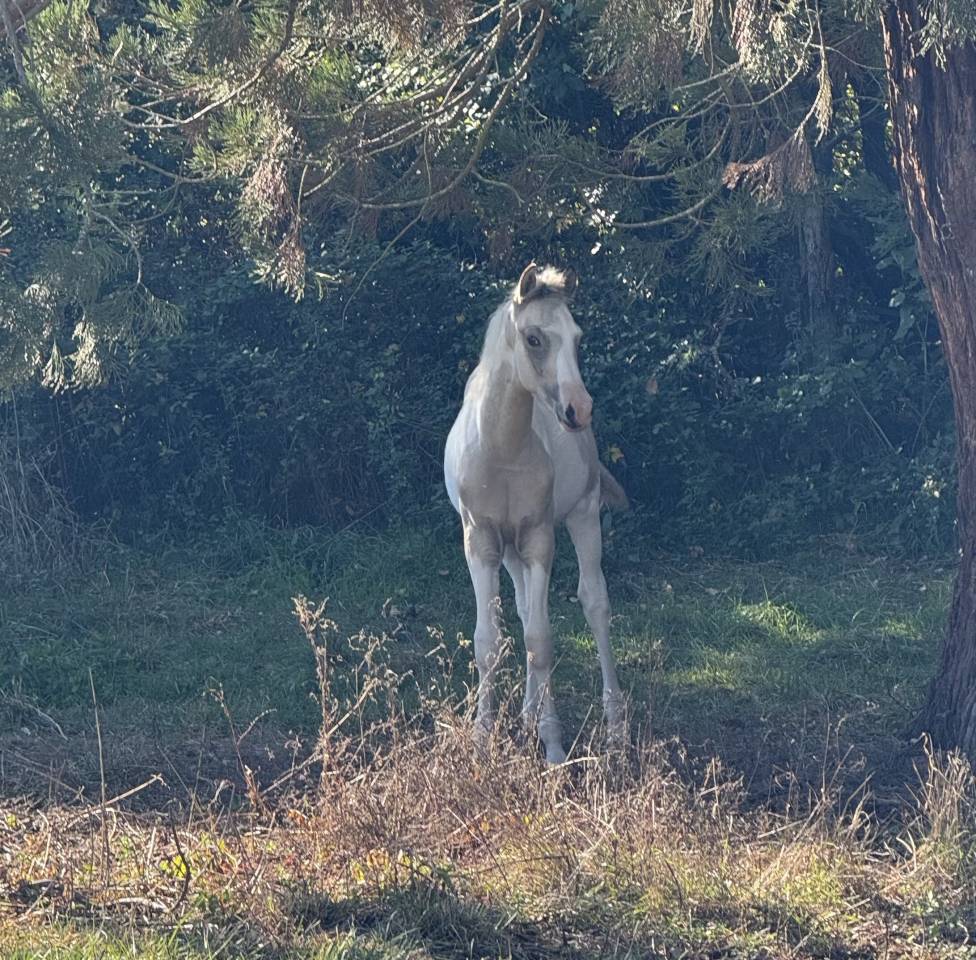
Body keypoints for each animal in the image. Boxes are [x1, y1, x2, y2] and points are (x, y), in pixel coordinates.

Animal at [444, 263, 628, 764]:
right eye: (533, 338)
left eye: (578, 338)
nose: (578, 409)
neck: (503, 449)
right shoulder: (481, 540)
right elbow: (491, 641)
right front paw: (482, 742)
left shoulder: (540, 538)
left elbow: (541, 642)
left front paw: (554, 748)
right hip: (511, 551)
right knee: (527, 611)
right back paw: (526, 717)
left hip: (582, 516)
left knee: (595, 603)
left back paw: (614, 724)